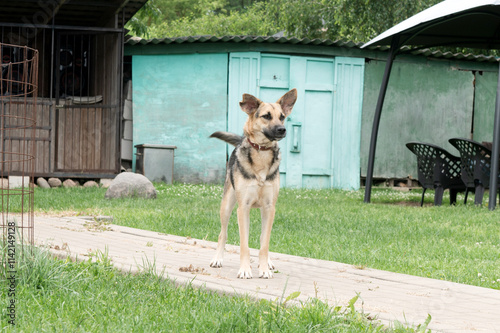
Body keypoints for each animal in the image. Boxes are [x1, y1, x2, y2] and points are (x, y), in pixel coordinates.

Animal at [208, 87, 296, 278]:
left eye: (282, 116)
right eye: (266, 116)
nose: (282, 129)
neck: (262, 151)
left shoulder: (270, 208)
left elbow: (264, 243)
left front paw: (264, 268)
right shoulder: (243, 208)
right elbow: (244, 244)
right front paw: (244, 270)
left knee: (264, 239)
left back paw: (268, 263)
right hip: (227, 205)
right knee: (222, 234)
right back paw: (218, 259)